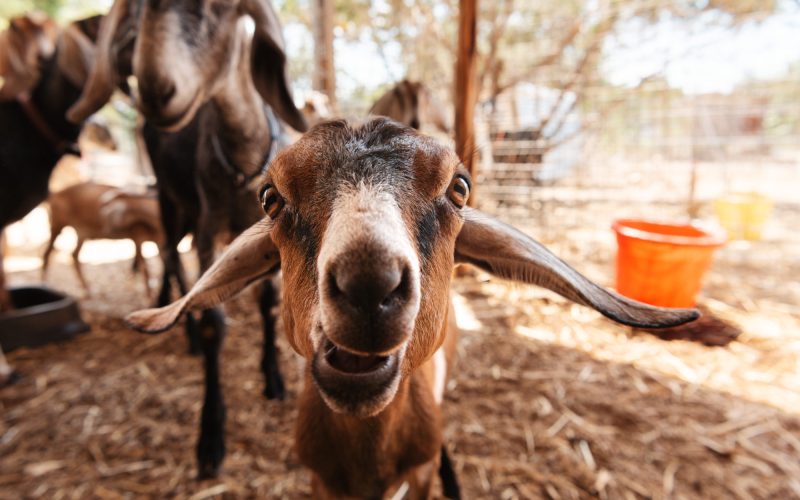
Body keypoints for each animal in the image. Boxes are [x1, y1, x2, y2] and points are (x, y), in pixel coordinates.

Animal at [67, 0, 308, 478]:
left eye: (223, 8)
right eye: (137, 13)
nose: (156, 91)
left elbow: (270, 303)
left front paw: (273, 377)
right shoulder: (207, 227)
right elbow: (215, 317)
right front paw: (210, 438)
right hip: (171, 201)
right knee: (170, 257)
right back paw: (188, 331)